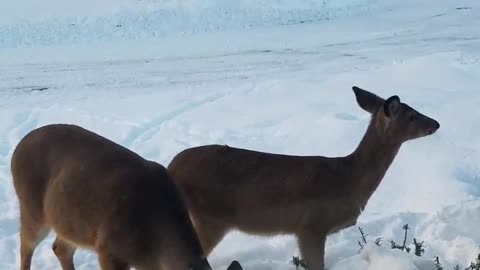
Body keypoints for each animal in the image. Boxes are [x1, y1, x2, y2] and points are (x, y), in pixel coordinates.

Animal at [12, 124, 240, 270]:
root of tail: (19, 145)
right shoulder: (107, 249)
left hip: (72, 222)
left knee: (60, 248)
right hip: (32, 208)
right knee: (26, 246)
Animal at [167, 86, 440, 270]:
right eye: (412, 115)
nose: (436, 124)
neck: (349, 179)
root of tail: (170, 168)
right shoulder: (311, 226)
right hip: (209, 218)